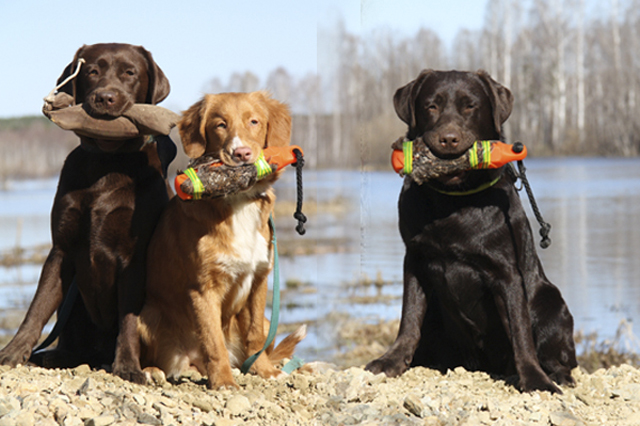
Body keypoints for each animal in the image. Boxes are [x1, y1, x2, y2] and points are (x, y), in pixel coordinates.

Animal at [137, 91, 304, 388]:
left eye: (254, 121)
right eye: (220, 125)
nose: (242, 154)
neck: (239, 201)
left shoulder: (259, 279)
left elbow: (254, 337)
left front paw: (263, 370)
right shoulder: (203, 289)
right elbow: (213, 341)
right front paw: (224, 381)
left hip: (265, 319)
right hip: (146, 315)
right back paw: (154, 370)